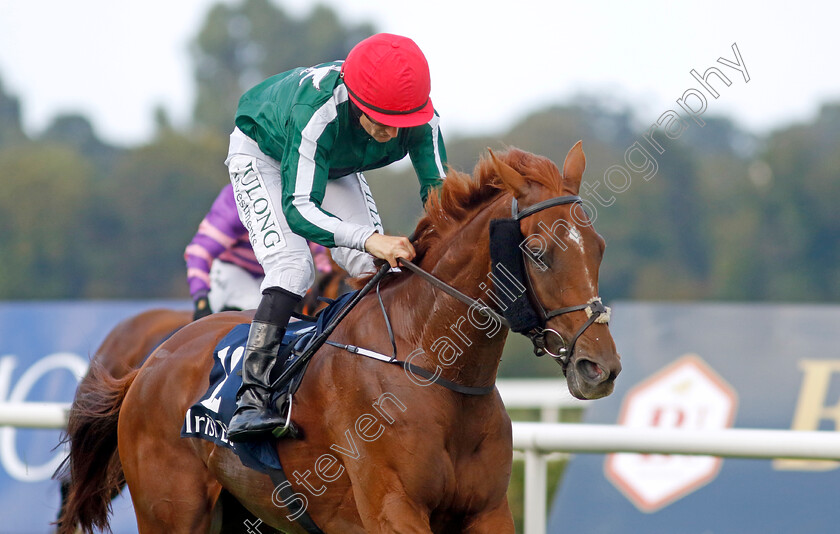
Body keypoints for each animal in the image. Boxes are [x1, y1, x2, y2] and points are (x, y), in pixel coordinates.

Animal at [59, 144, 620, 532]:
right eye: (538, 250)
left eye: (598, 245)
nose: (600, 368)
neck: (432, 369)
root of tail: (150, 364)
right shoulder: (393, 509)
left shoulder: (487, 510)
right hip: (171, 513)